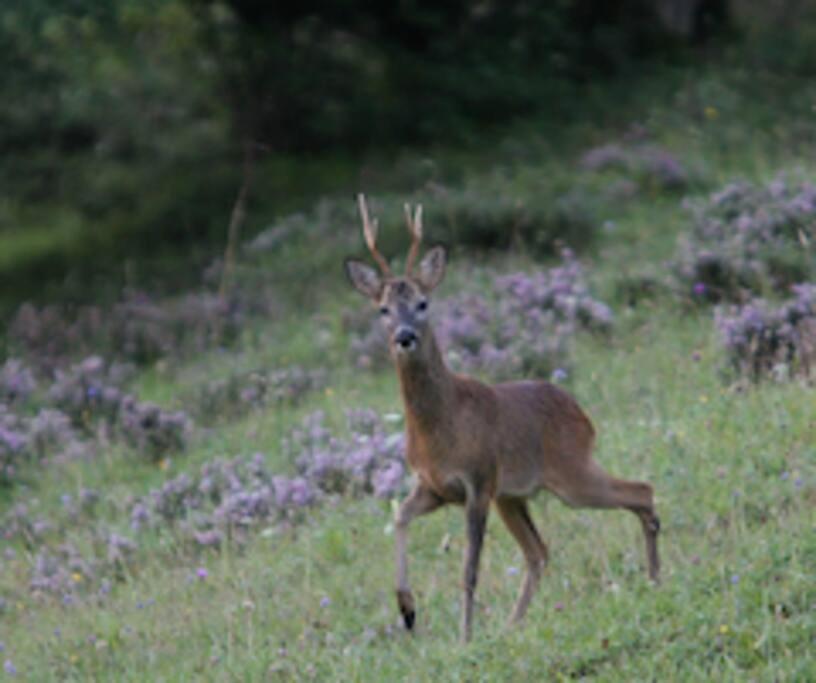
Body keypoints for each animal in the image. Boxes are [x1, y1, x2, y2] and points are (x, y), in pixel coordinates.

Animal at [342, 195, 660, 644]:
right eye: (383, 308)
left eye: (423, 303)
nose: (405, 336)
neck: (440, 426)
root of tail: (582, 414)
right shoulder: (435, 486)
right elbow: (399, 516)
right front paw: (407, 608)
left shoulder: (478, 481)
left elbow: (469, 570)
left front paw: (465, 637)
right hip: (514, 495)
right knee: (539, 551)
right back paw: (514, 624)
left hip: (569, 475)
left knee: (641, 491)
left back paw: (655, 579)